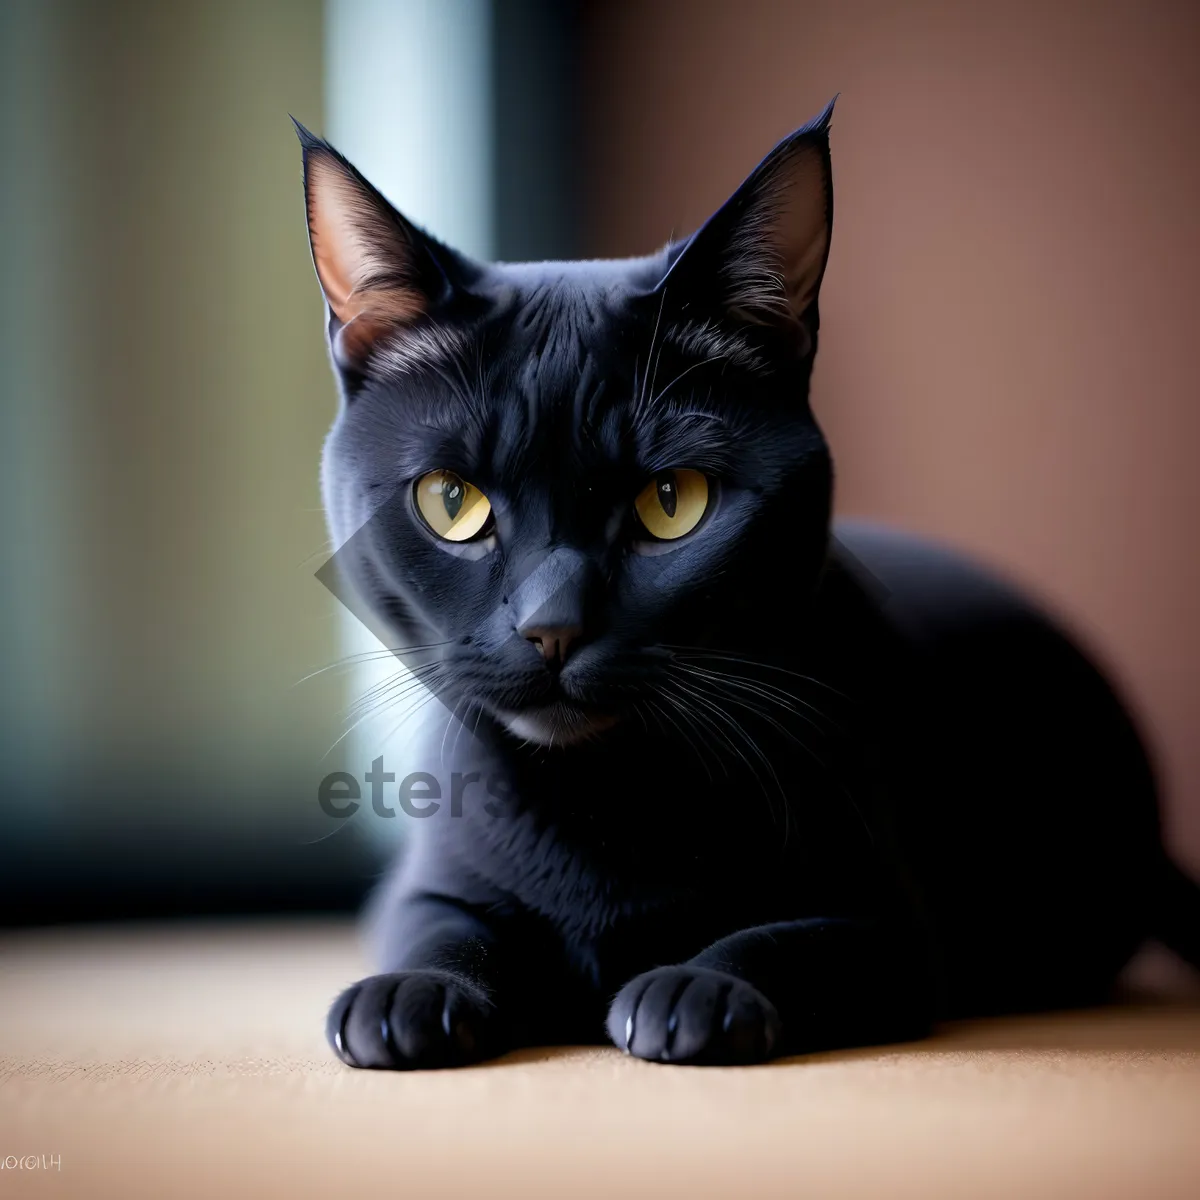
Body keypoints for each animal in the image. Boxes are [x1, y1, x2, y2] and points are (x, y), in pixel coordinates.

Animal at [292, 98, 1200, 1065]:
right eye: (452, 501)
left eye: (672, 501)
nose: (552, 626)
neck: (608, 803)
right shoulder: (422, 889)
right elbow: (444, 928)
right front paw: (410, 995)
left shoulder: (892, 923)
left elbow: (787, 939)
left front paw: (696, 990)